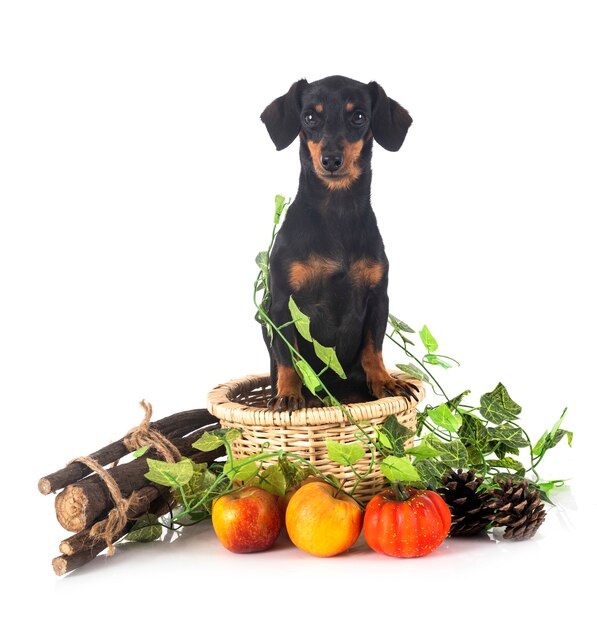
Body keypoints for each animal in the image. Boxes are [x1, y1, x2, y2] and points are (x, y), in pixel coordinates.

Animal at [258, 74, 416, 410]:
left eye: (359, 116)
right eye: (309, 117)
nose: (331, 160)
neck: (336, 213)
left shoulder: (378, 297)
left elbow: (373, 348)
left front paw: (384, 381)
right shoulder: (281, 306)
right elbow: (288, 357)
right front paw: (288, 394)